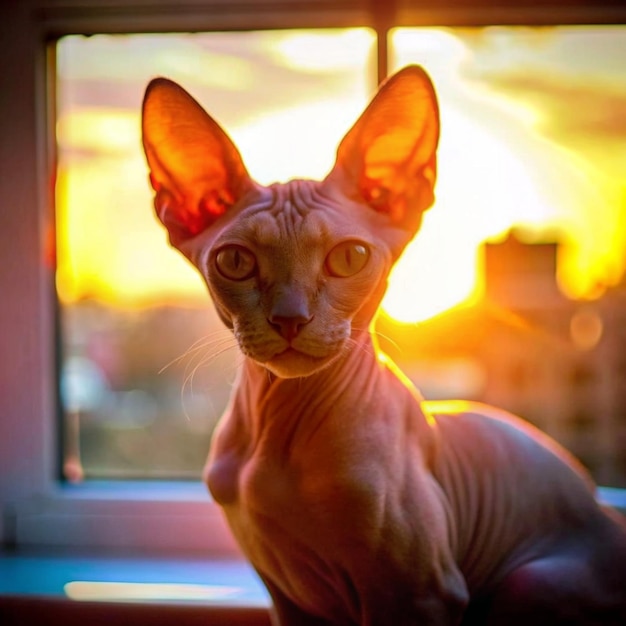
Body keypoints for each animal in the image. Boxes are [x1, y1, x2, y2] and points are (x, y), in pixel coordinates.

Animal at [141, 66, 624, 620]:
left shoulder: (423, 593)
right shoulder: (285, 598)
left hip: (528, 580)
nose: (290, 319)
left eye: (349, 257)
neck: (275, 434)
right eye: (235, 262)